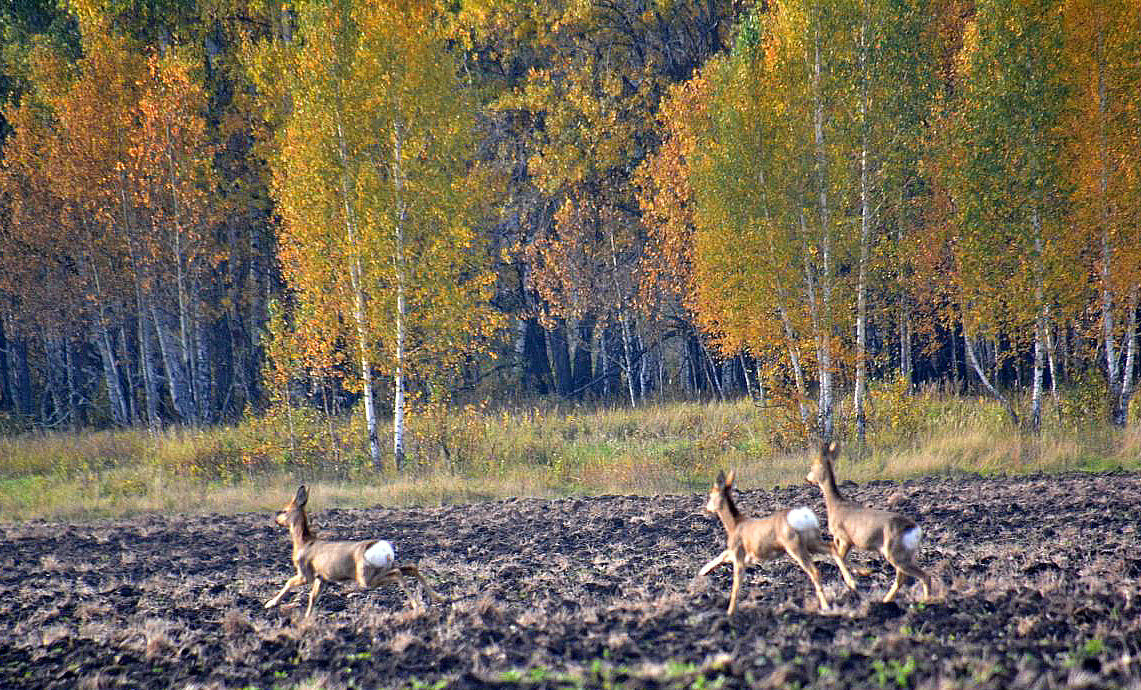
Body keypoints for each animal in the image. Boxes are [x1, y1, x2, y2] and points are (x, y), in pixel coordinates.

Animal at [264, 483, 433, 620]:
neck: (303, 543)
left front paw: (270, 603)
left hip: (365, 577)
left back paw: (417, 606)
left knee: (398, 573)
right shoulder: (322, 577)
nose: (276, 520)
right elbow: (313, 597)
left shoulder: (306, 573)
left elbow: (289, 582)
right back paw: (436, 598)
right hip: (384, 567)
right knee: (411, 567)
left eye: (284, 510)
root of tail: (385, 549)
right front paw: (307, 618)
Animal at [693, 467, 830, 611]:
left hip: (795, 547)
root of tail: (805, 516)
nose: (707, 508)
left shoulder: (739, 553)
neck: (735, 524)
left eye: (711, 494)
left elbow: (735, 585)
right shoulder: (743, 555)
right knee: (832, 549)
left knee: (815, 571)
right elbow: (723, 556)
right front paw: (703, 571)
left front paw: (730, 611)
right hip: (813, 542)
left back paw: (825, 606)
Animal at [807, 444, 931, 602]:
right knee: (902, 578)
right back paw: (885, 600)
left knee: (923, 576)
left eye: (813, 466)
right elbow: (839, 556)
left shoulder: (846, 538)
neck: (835, 506)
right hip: (906, 554)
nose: (807, 478)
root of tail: (915, 529)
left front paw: (854, 581)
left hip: (895, 553)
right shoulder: (841, 540)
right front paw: (865, 572)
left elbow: (839, 557)